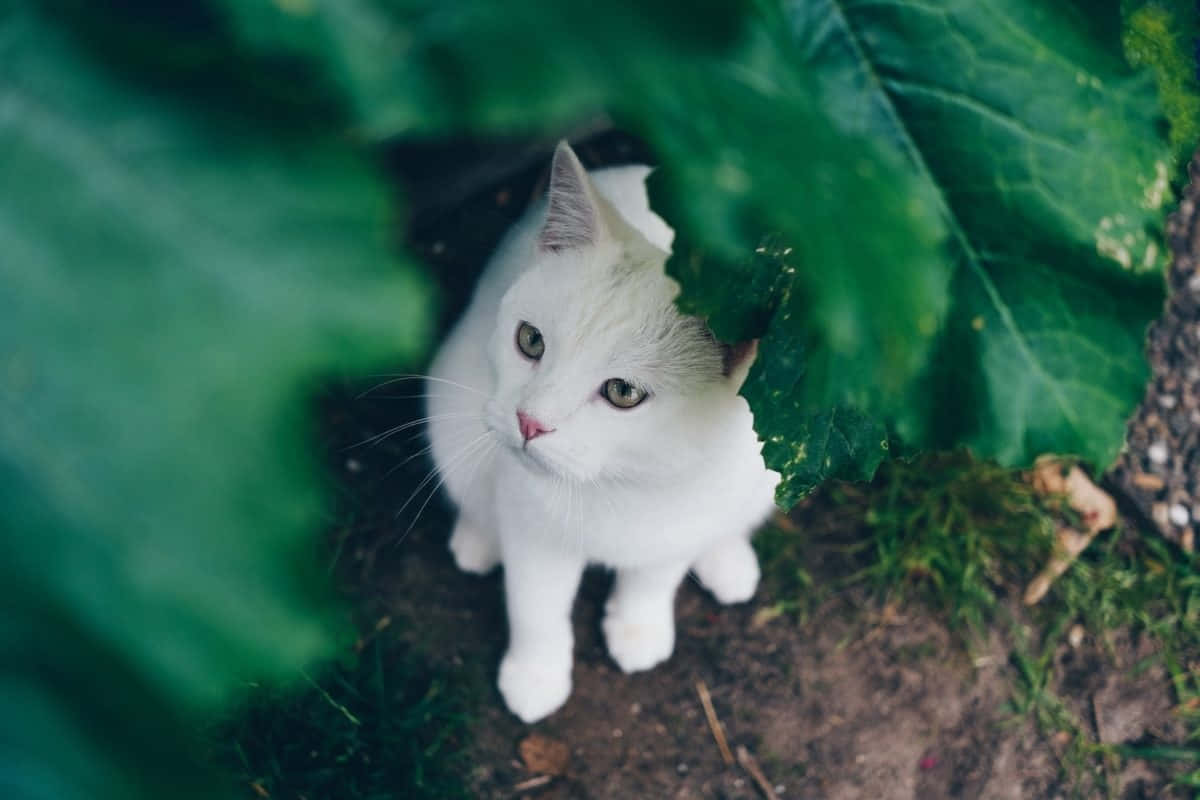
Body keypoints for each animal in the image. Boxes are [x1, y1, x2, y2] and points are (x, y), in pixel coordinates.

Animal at [422, 140, 777, 724]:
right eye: (530, 340)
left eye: (623, 392)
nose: (530, 422)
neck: (619, 483)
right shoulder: (533, 530)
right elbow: (536, 606)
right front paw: (536, 675)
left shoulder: (684, 519)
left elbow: (656, 576)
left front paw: (639, 627)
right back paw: (477, 538)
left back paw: (727, 559)